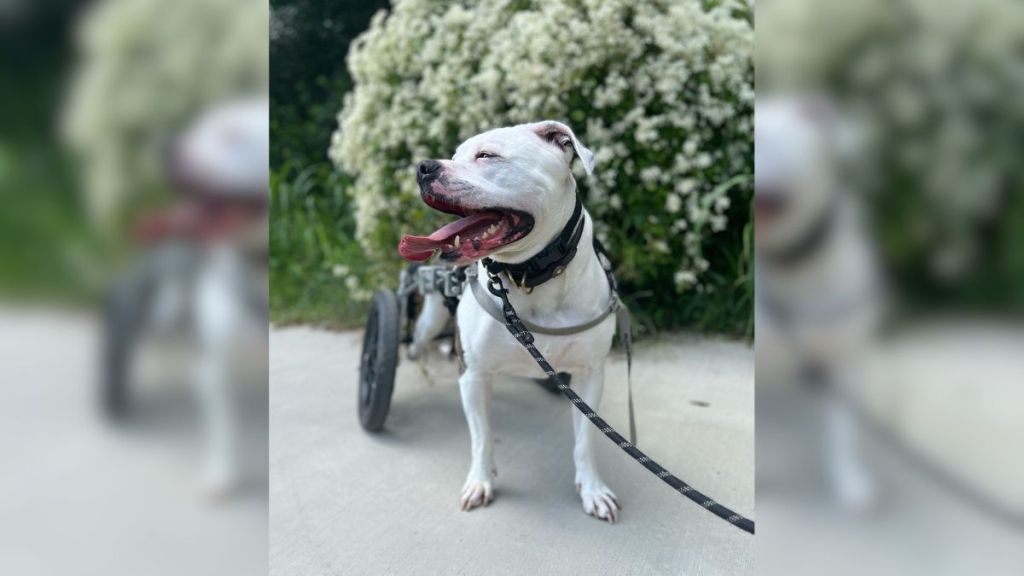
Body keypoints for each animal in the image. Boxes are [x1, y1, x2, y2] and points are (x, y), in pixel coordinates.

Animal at [397, 120, 622, 520]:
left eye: (486, 155)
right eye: (454, 155)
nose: (423, 167)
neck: (530, 276)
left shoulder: (589, 374)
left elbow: (585, 439)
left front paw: (593, 488)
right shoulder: (473, 375)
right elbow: (482, 437)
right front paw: (480, 481)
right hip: (431, 316)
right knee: (418, 341)